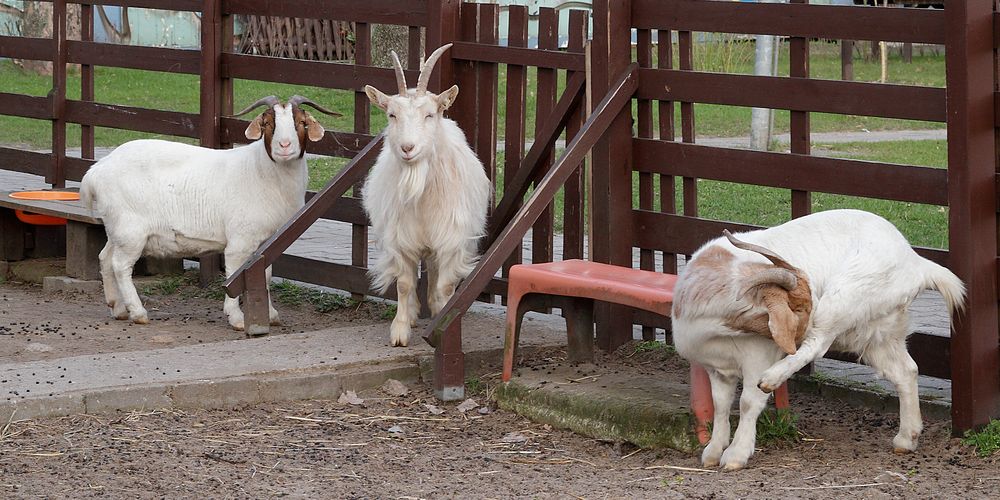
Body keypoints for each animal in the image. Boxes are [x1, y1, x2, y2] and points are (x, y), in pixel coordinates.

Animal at [82, 95, 340, 330]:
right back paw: (138, 312)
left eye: (301, 122)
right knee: (120, 265)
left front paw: (271, 315)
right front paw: (237, 318)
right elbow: (235, 273)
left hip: (116, 227)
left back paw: (117, 308)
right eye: (267, 123)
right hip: (130, 230)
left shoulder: (267, 242)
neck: (261, 170)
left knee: (105, 258)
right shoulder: (240, 240)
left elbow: (264, 275)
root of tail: (96, 170)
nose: (284, 147)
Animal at [364, 45, 496, 346]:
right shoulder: (400, 238)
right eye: (392, 115)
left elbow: (445, 285)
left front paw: (441, 322)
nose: (407, 148)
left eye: (429, 114)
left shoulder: (451, 237)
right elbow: (404, 284)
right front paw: (400, 331)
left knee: (435, 272)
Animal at [668, 208, 964, 472]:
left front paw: (736, 455)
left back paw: (773, 377)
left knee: (819, 343)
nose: (810, 317)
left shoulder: (758, 355)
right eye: (798, 308)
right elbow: (720, 405)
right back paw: (906, 438)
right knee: (906, 371)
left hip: (846, 299)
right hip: (877, 332)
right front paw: (712, 452)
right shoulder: (717, 368)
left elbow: (748, 401)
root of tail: (916, 263)